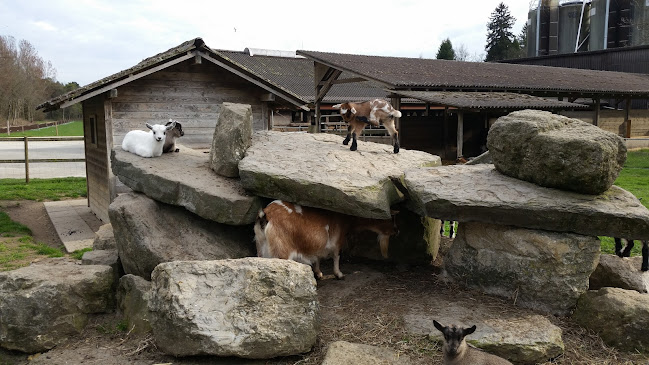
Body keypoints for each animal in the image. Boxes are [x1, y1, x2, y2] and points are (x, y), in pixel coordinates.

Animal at [252, 199, 394, 278]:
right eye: (391, 218)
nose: (396, 230)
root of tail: (265, 215)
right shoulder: (337, 239)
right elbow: (336, 255)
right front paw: (339, 274)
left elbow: (318, 256)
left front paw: (318, 273)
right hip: (281, 252)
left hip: (261, 247)